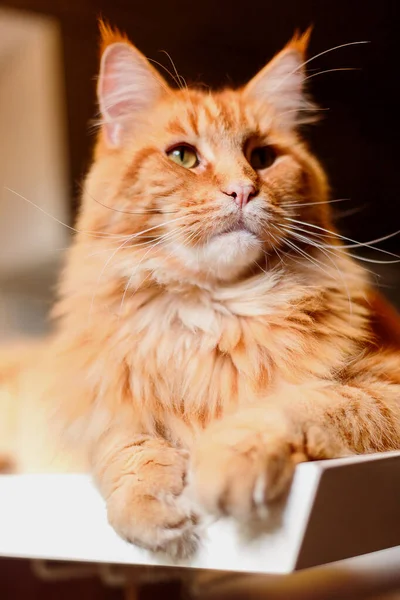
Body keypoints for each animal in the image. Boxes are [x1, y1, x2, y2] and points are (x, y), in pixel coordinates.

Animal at [0, 22, 400, 556]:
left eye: (262, 158)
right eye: (184, 156)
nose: (243, 190)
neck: (215, 309)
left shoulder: (385, 385)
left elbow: (302, 403)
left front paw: (228, 456)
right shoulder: (98, 409)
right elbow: (126, 447)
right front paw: (150, 505)